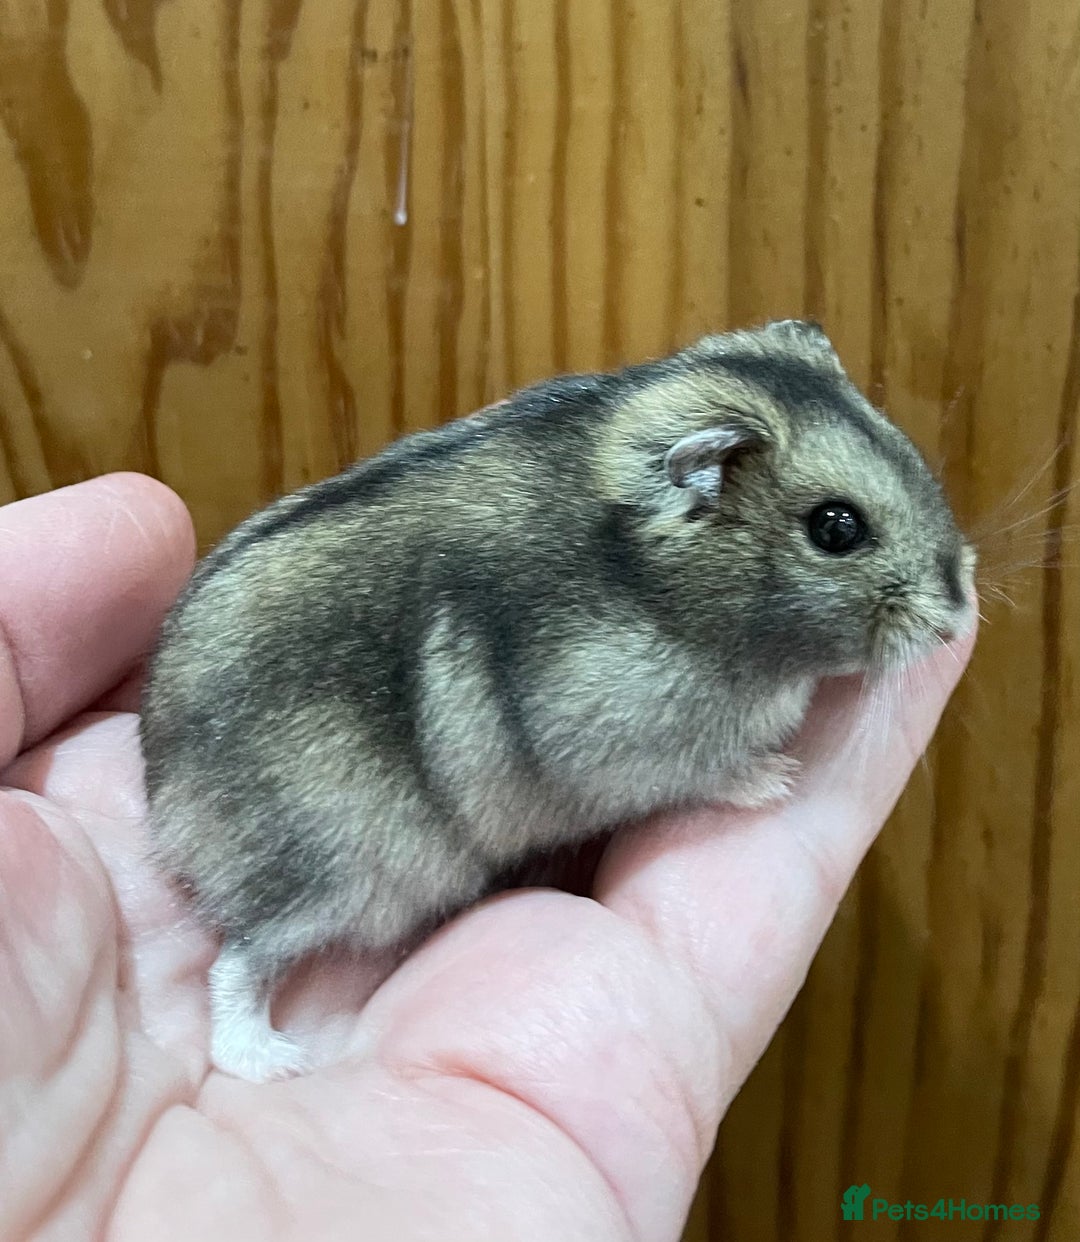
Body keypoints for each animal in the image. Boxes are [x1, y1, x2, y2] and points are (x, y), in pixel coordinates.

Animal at [139, 319, 975, 1081]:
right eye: (836, 528)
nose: (960, 613)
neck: (660, 582)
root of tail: (163, 805)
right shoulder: (617, 743)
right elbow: (707, 770)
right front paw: (775, 778)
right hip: (346, 871)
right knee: (238, 957)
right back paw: (273, 1061)